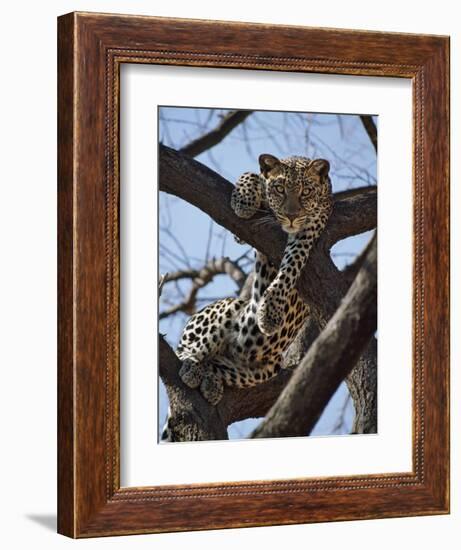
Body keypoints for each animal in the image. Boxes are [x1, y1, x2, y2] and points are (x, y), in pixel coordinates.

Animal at [164, 155, 328, 422]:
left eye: (306, 192)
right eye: (280, 189)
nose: (291, 216)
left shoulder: (311, 227)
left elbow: (291, 265)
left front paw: (270, 312)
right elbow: (250, 175)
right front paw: (243, 201)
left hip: (263, 368)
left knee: (219, 365)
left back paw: (208, 380)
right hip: (226, 309)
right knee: (186, 351)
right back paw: (192, 366)